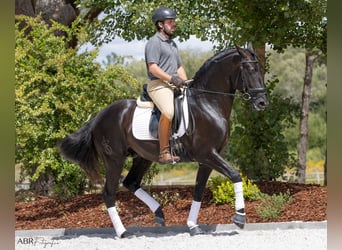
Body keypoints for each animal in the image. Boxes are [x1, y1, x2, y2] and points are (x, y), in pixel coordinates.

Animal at [58, 42, 268, 238]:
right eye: (250, 70)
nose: (262, 103)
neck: (207, 103)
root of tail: (99, 117)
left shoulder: (207, 160)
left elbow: (199, 190)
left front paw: (193, 225)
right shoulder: (207, 154)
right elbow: (235, 175)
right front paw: (240, 217)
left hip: (142, 157)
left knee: (131, 183)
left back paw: (159, 214)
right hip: (114, 160)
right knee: (109, 193)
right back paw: (123, 232)